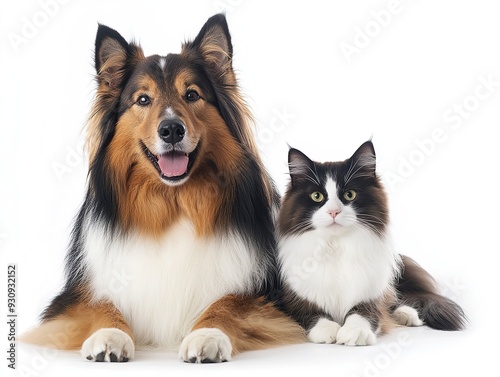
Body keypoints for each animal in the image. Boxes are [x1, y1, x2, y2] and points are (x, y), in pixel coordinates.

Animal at [21, 13, 304, 362]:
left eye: (192, 95)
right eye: (143, 99)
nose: (171, 130)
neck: (173, 201)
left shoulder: (267, 293)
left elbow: (228, 302)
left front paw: (208, 334)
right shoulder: (74, 296)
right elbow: (101, 303)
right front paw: (109, 334)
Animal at [278, 140, 464, 344]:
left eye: (350, 195)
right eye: (317, 196)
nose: (334, 212)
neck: (336, 246)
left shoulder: (369, 295)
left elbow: (362, 313)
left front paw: (354, 332)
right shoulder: (293, 298)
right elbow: (311, 313)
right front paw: (327, 329)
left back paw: (406, 315)